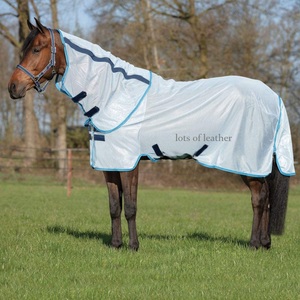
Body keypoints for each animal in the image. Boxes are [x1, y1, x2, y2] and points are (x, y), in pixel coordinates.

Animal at [8, 18, 294, 251]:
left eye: (36, 49)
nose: (13, 87)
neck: (113, 94)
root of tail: (273, 97)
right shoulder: (109, 164)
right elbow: (114, 207)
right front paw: (116, 245)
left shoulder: (129, 164)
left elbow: (131, 207)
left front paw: (133, 246)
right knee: (266, 198)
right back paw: (265, 243)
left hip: (246, 162)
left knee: (259, 198)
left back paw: (254, 244)